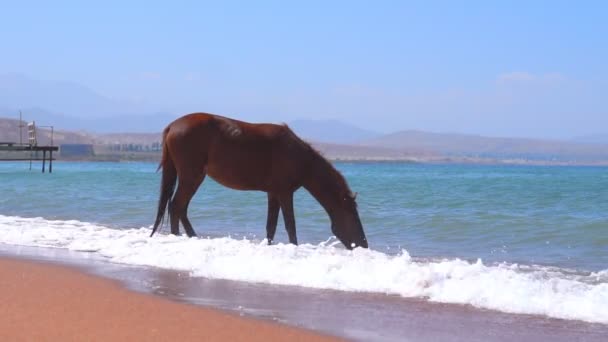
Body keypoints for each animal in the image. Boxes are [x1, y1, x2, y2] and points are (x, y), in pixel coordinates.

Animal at [150, 113, 368, 250]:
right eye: (353, 216)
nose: (364, 245)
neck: (301, 158)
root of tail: (172, 126)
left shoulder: (273, 193)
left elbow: (271, 226)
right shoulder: (285, 193)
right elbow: (290, 225)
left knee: (180, 208)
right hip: (192, 176)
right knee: (176, 206)